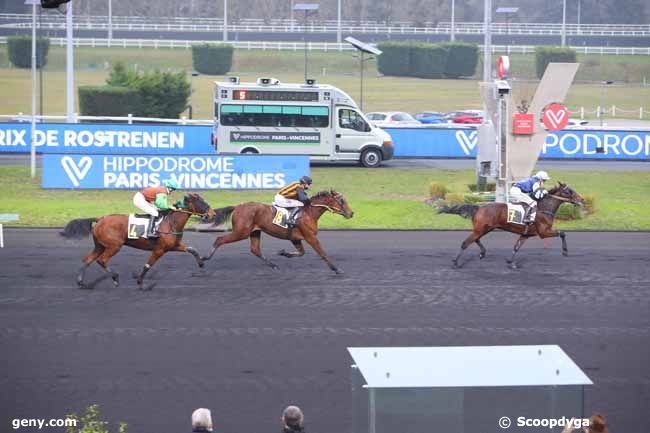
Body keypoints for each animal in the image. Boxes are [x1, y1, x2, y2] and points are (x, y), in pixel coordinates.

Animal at [60, 193, 213, 288]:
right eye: (201, 202)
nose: (212, 214)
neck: (170, 222)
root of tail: (100, 219)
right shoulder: (159, 249)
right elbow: (148, 265)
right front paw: (140, 281)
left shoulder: (172, 246)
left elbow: (192, 249)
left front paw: (201, 263)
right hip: (114, 246)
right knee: (102, 260)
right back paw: (115, 278)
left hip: (100, 246)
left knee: (88, 259)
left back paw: (81, 282)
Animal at [202, 190, 354, 274]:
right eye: (341, 200)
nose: (351, 213)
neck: (309, 212)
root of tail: (238, 206)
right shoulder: (310, 237)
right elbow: (322, 253)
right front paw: (336, 269)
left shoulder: (295, 238)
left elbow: (301, 252)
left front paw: (283, 253)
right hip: (241, 232)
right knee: (220, 239)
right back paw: (204, 258)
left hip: (254, 232)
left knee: (255, 250)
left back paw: (273, 265)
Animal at [440, 181, 584, 268]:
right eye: (569, 191)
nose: (581, 199)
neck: (543, 208)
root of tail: (479, 208)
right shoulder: (543, 232)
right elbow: (563, 233)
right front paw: (565, 251)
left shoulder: (526, 234)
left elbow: (516, 247)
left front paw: (511, 262)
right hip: (481, 229)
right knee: (466, 243)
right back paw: (455, 262)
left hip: (485, 228)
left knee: (476, 239)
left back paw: (482, 253)